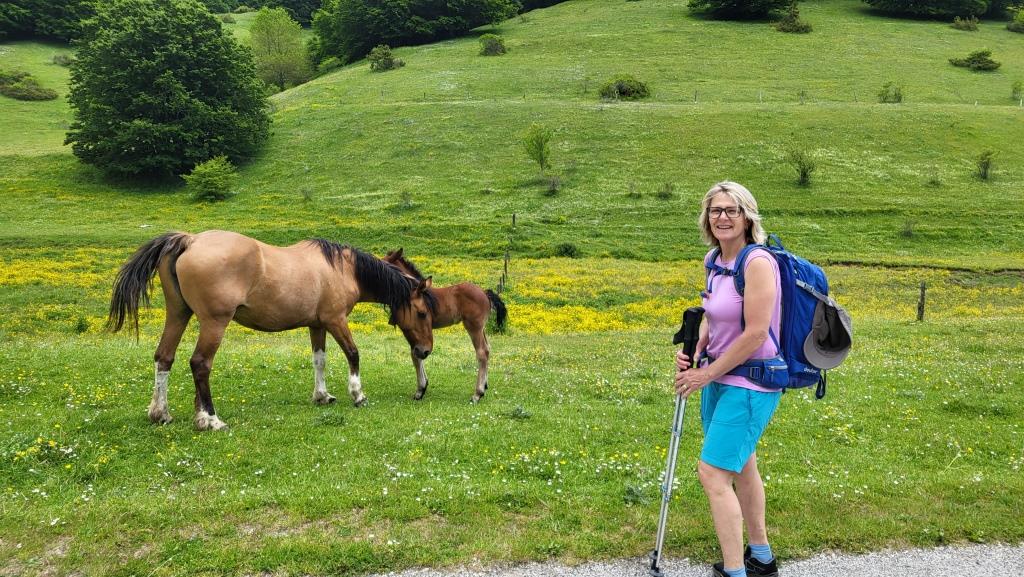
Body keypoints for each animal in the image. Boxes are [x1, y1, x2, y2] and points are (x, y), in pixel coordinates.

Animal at [107, 230, 436, 430]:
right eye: (422, 312)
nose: (424, 351)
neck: (343, 269)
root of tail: (190, 240)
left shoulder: (317, 324)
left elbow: (319, 360)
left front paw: (322, 395)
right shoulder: (335, 320)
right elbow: (353, 354)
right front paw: (357, 394)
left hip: (178, 314)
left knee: (164, 357)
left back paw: (161, 413)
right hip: (214, 322)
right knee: (200, 364)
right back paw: (210, 419)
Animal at [382, 249, 507, 403]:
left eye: (386, 263)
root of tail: (484, 293)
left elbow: (415, 355)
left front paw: (420, 390)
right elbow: (417, 353)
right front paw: (423, 386)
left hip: (474, 327)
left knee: (482, 352)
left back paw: (477, 394)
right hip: (481, 328)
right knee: (488, 348)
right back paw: (485, 385)